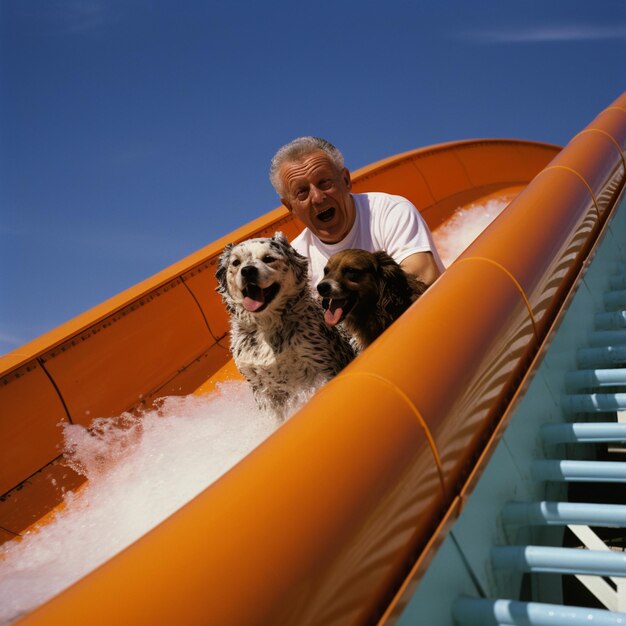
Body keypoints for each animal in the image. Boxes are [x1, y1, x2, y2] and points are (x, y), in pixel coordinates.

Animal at [214, 232, 354, 422]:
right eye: (236, 262)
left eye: (268, 258)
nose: (248, 270)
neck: (267, 326)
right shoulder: (260, 386)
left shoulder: (321, 364)